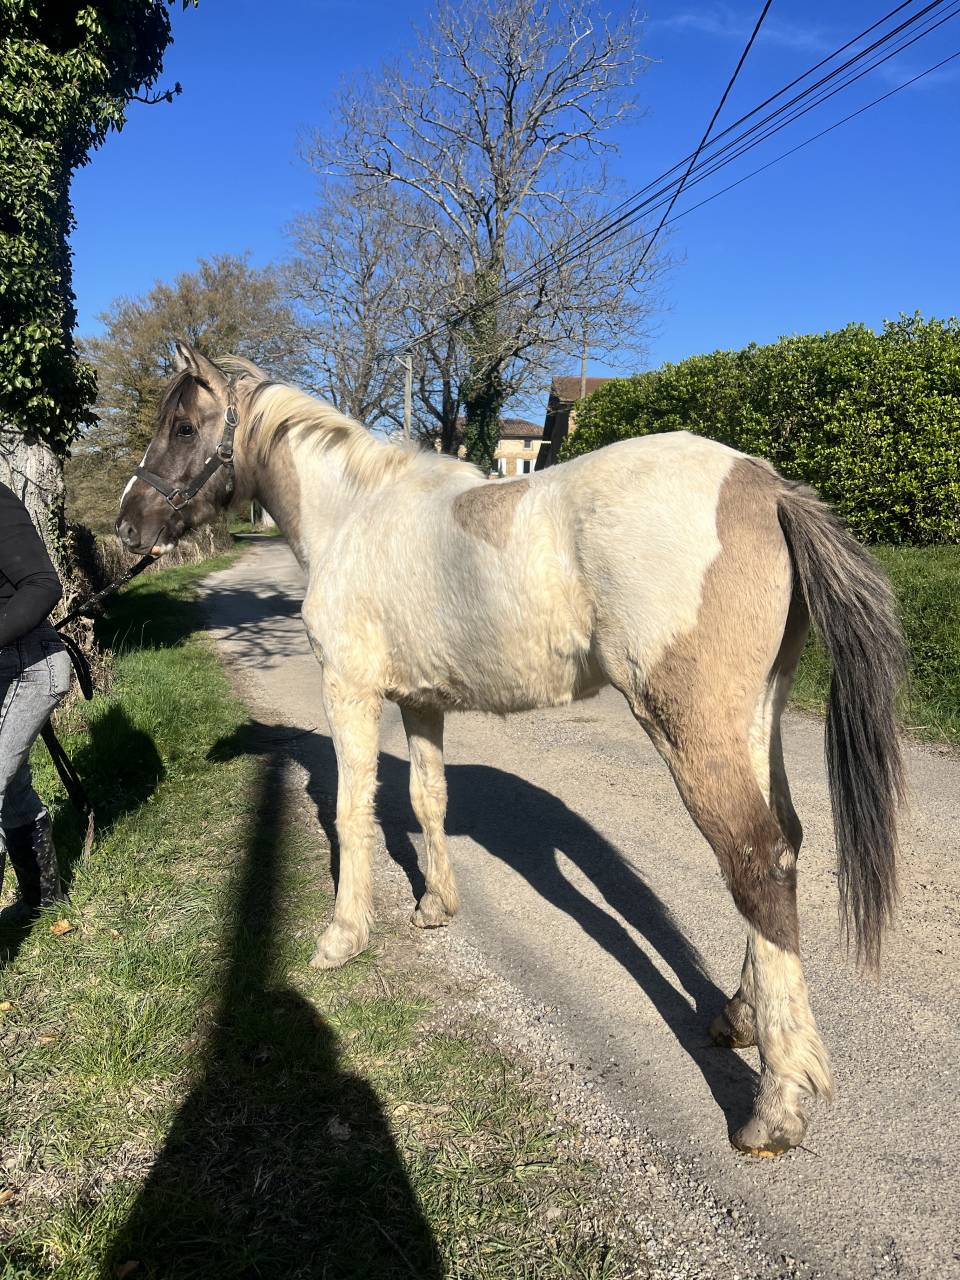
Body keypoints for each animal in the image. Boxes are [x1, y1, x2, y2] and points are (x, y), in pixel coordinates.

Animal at [116, 340, 905, 1157]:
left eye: (183, 426)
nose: (128, 527)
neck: (356, 515)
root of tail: (765, 485)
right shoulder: (421, 703)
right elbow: (425, 799)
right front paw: (435, 906)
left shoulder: (350, 691)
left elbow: (351, 809)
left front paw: (343, 936)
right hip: (754, 717)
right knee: (785, 844)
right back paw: (740, 1019)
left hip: (691, 728)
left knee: (754, 860)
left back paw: (777, 1107)